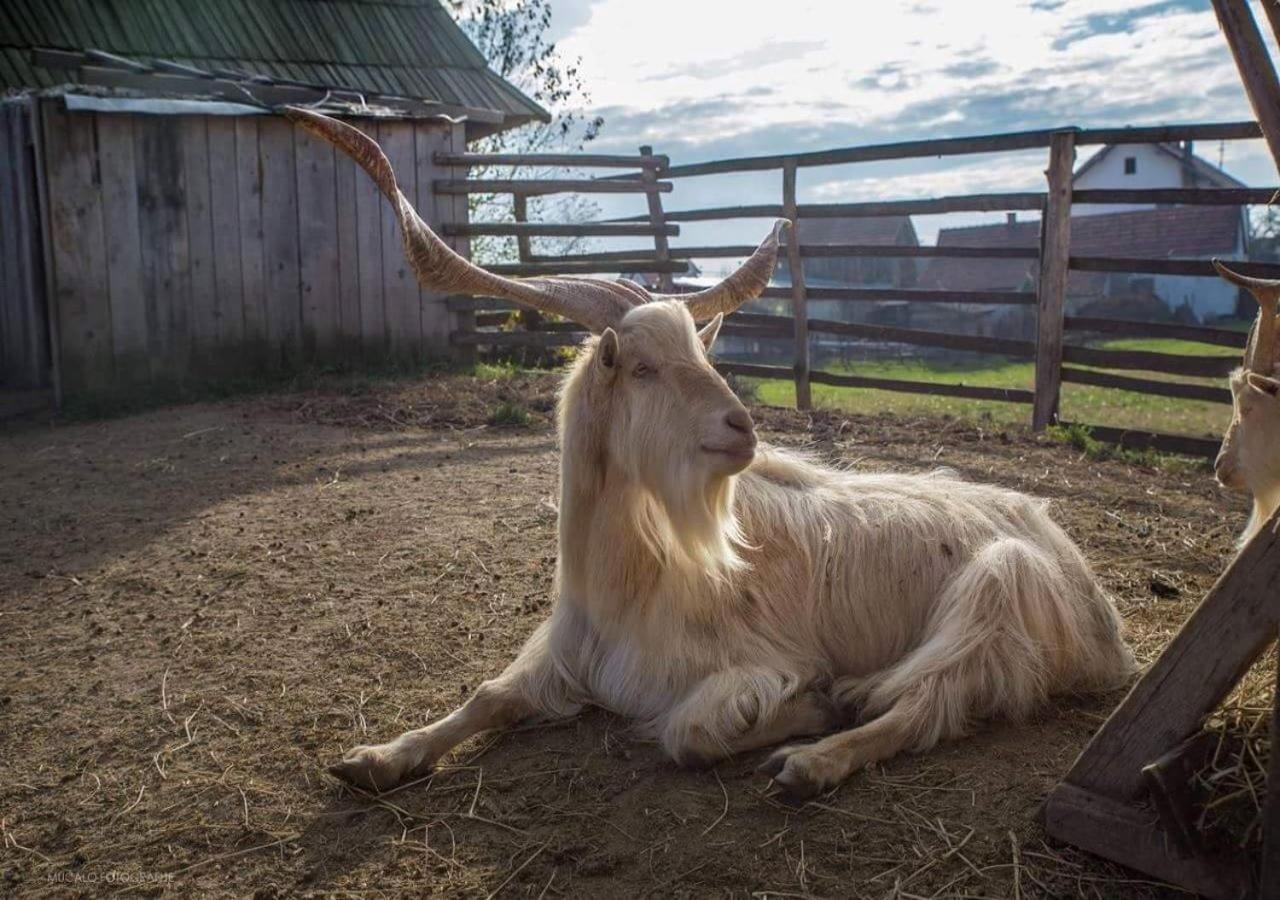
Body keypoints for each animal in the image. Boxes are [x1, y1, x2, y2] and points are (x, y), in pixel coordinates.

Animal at [288, 108, 1131, 798]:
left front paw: (811, 706)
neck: (625, 585)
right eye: (643, 367)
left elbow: (689, 734)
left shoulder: (748, 664)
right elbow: (487, 695)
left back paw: (817, 757)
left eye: (701, 351)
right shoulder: (564, 657)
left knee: (928, 704)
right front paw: (376, 757)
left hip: (998, 589)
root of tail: (1100, 614)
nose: (741, 428)